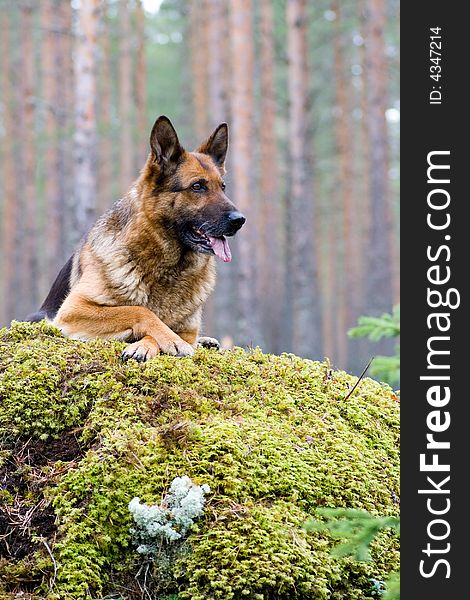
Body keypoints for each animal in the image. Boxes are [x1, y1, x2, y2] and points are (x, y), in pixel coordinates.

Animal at [26, 116, 246, 360]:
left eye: (223, 187)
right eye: (197, 186)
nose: (240, 220)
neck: (168, 268)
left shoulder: (188, 330)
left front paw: (154, 343)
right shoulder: (74, 309)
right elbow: (139, 310)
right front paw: (167, 340)